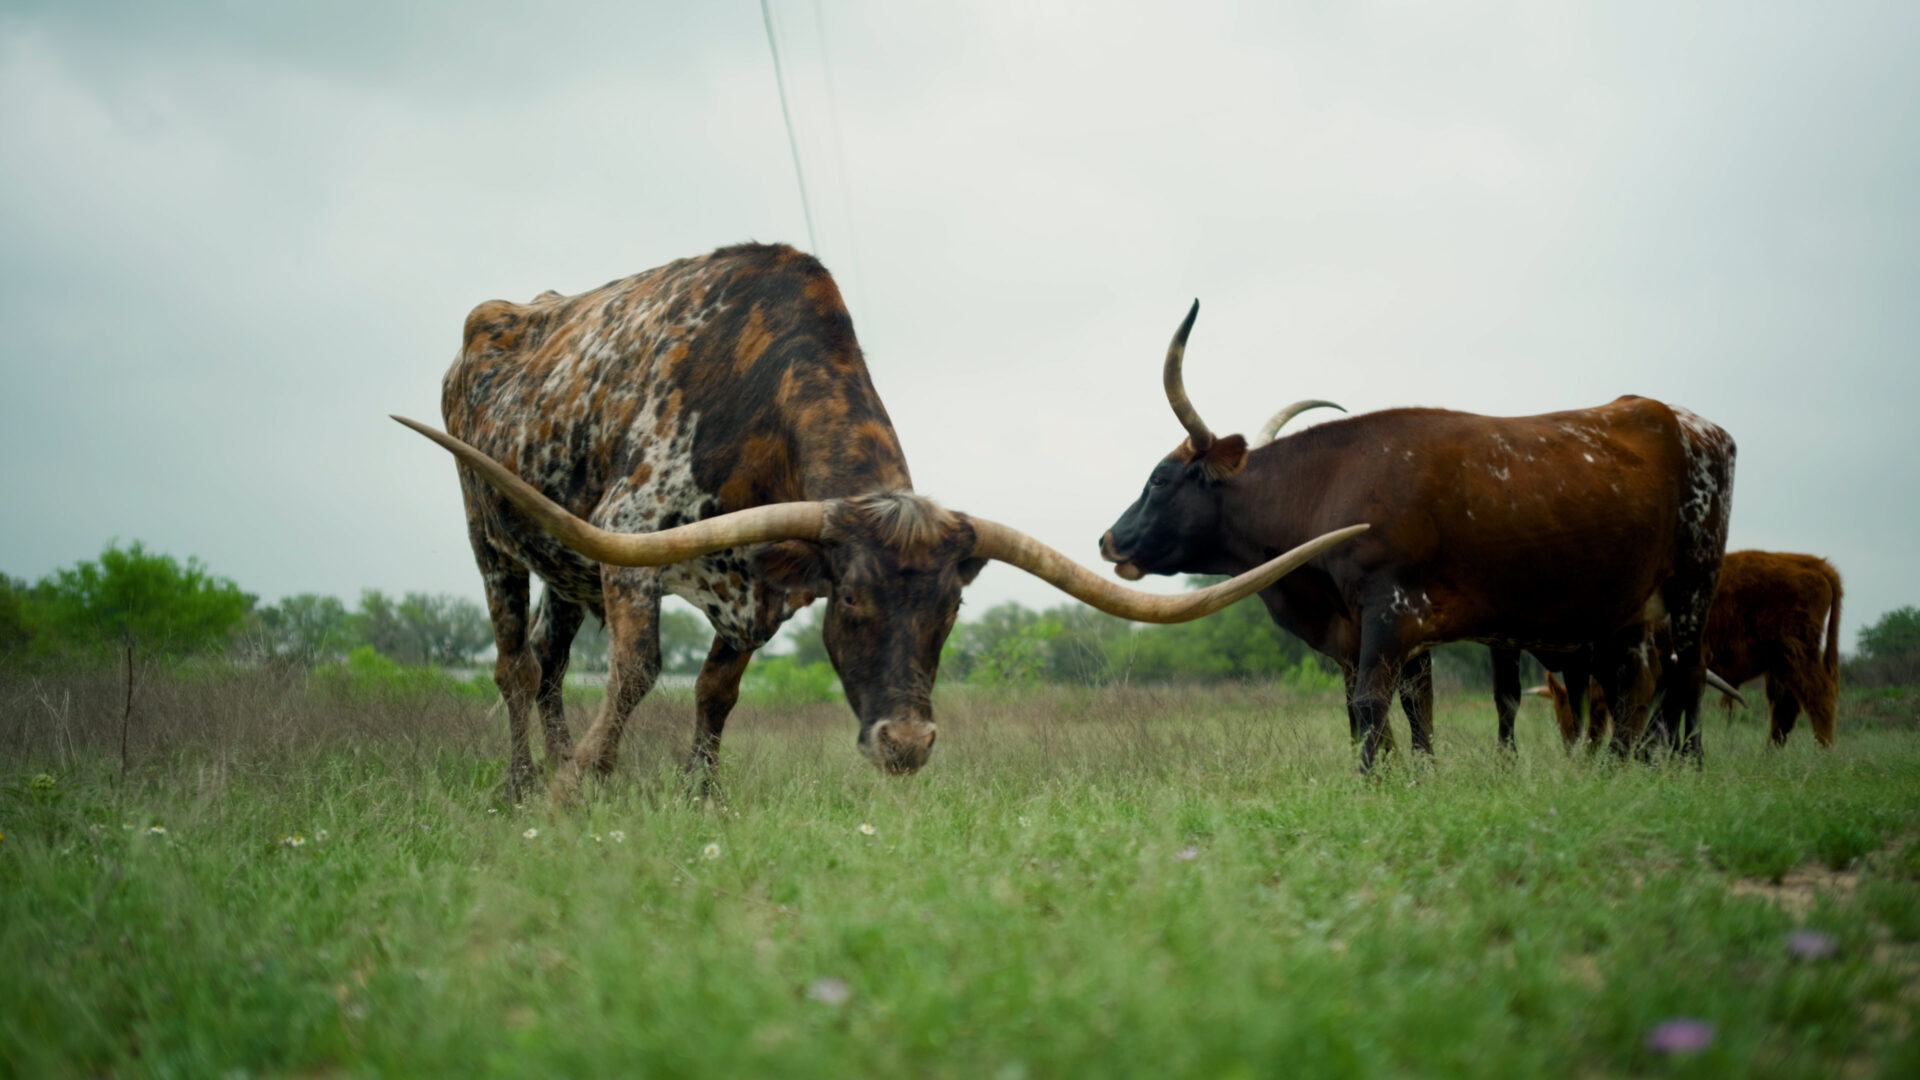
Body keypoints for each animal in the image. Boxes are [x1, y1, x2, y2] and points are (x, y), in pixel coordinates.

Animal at [400, 244, 1366, 798]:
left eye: (951, 612)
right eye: (856, 604)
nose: (905, 745)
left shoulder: (755, 602)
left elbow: (715, 696)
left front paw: (698, 798)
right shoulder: (632, 545)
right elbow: (637, 673)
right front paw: (580, 788)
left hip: (562, 568)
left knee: (553, 664)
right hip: (491, 541)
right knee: (516, 667)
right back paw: (525, 783)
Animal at [1098, 301, 1737, 770]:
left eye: (1159, 479)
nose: (1108, 540)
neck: (1331, 485)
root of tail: (1696, 424)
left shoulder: (1392, 608)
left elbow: (1373, 702)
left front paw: (1375, 783)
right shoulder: (1370, 627)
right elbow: (1401, 708)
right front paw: (1414, 776)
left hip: (1692, 587)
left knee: (1685, 675)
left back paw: (1686, 765)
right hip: (1627, 612)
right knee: (1640, 680)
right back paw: (1624, 767)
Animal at [1529, 550, 1841, 747]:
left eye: (1566, 715)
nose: (1572, 748)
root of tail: (1815, 564)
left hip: (1797, 656)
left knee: (1820, 699)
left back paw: (1823, 753)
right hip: (1781, 665)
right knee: (1786, 711)